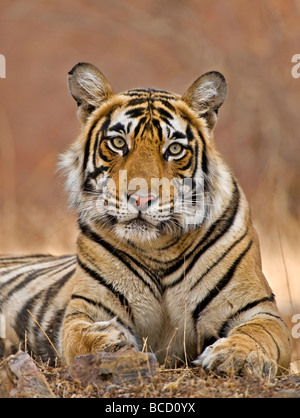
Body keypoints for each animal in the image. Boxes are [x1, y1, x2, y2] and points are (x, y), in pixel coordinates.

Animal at [0, 62, 290, 378]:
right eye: (117, 143)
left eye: (174, 149)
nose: (140, 199)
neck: (159, 247)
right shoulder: (85, 310)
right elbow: (79, 336)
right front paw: (110, 342)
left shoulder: (258, 309)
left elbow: (259, 334)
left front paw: (235, 355)